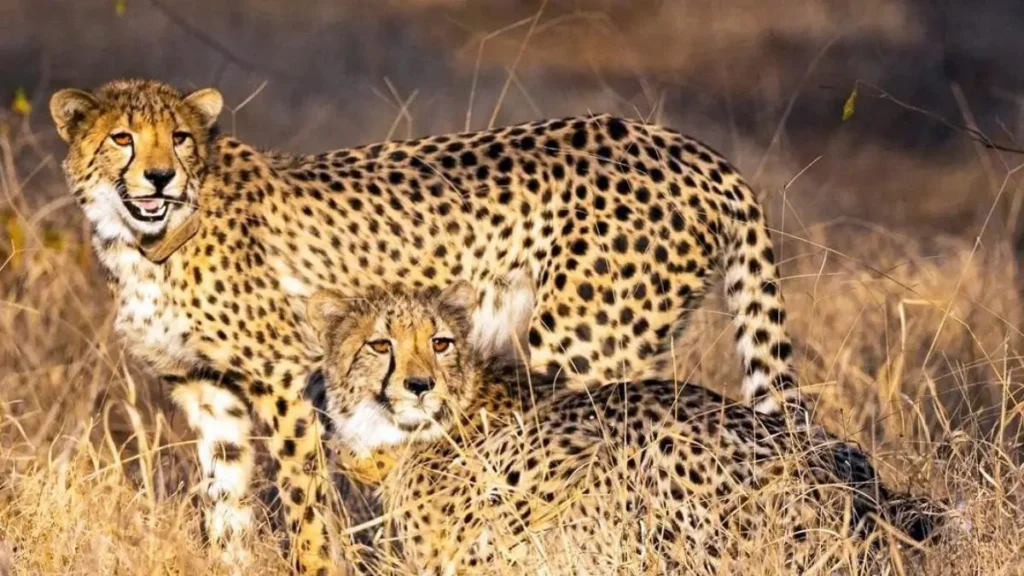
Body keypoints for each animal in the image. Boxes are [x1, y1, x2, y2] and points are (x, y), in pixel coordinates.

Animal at [49, 77, 801, 573]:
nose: (159, 177)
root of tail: (689, 148)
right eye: (122, 138)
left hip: (578, 345)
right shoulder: (207, 391)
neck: (143, 240)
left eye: (179, 138)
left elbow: (303, 502)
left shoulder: (286, 379)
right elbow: (226, 504)